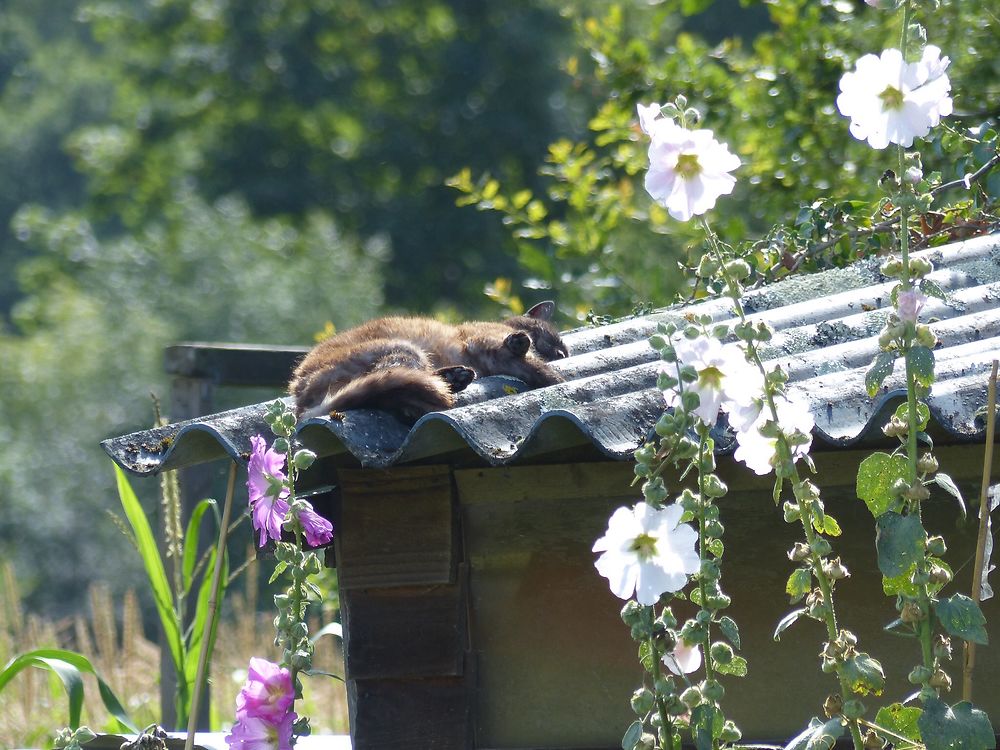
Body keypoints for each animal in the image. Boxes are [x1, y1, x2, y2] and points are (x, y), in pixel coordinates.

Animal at [290, 302, 572, 426]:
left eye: (564, 350)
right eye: (552, 338)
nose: (561, 352)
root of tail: (299, 400)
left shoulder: (495, 358)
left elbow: (534, 370)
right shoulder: (486, 344)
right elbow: (536, 366)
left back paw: (457, 378)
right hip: (406, 349)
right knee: (400, 383)